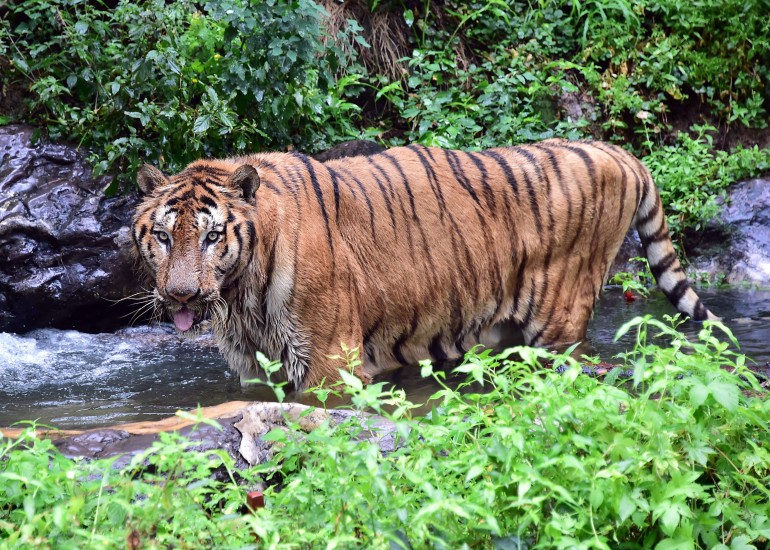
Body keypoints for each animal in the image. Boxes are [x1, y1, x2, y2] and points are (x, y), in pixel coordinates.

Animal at [130, 142, 712, 392]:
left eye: (212, 237)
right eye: (163, 236)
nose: (181, 296)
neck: (239, 295)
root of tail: (618, 151)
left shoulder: (328, 360)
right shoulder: (257, 367)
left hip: (559, 321)